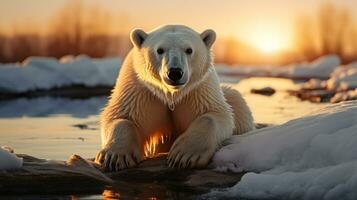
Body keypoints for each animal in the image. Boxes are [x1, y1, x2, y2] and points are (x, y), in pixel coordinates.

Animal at [95, 25, 253, 171]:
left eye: (189, 50)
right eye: (160, 50)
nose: (175, 72)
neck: (171, 94)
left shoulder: (198, 89)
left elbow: (216, 114)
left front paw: (184, 155)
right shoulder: (140, 88)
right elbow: (120, 115)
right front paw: (116, 156)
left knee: (236, 102)